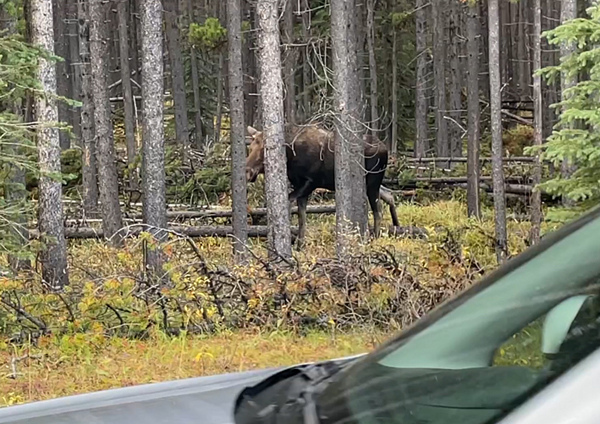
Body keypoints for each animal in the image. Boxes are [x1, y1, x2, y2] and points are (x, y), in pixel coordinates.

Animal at [246, 122, 400, 247]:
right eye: (251, 147)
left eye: (265, 149)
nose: (248, 171)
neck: (290, 157)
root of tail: (385, 148)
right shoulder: (299, 185)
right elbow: (302, 217)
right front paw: (300, 246)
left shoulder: (310, 182)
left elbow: (289, 203)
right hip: (373, 183)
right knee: (389, 194)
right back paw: (396, 226)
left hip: (372, 182)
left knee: (378, 209)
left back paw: (376, 238)